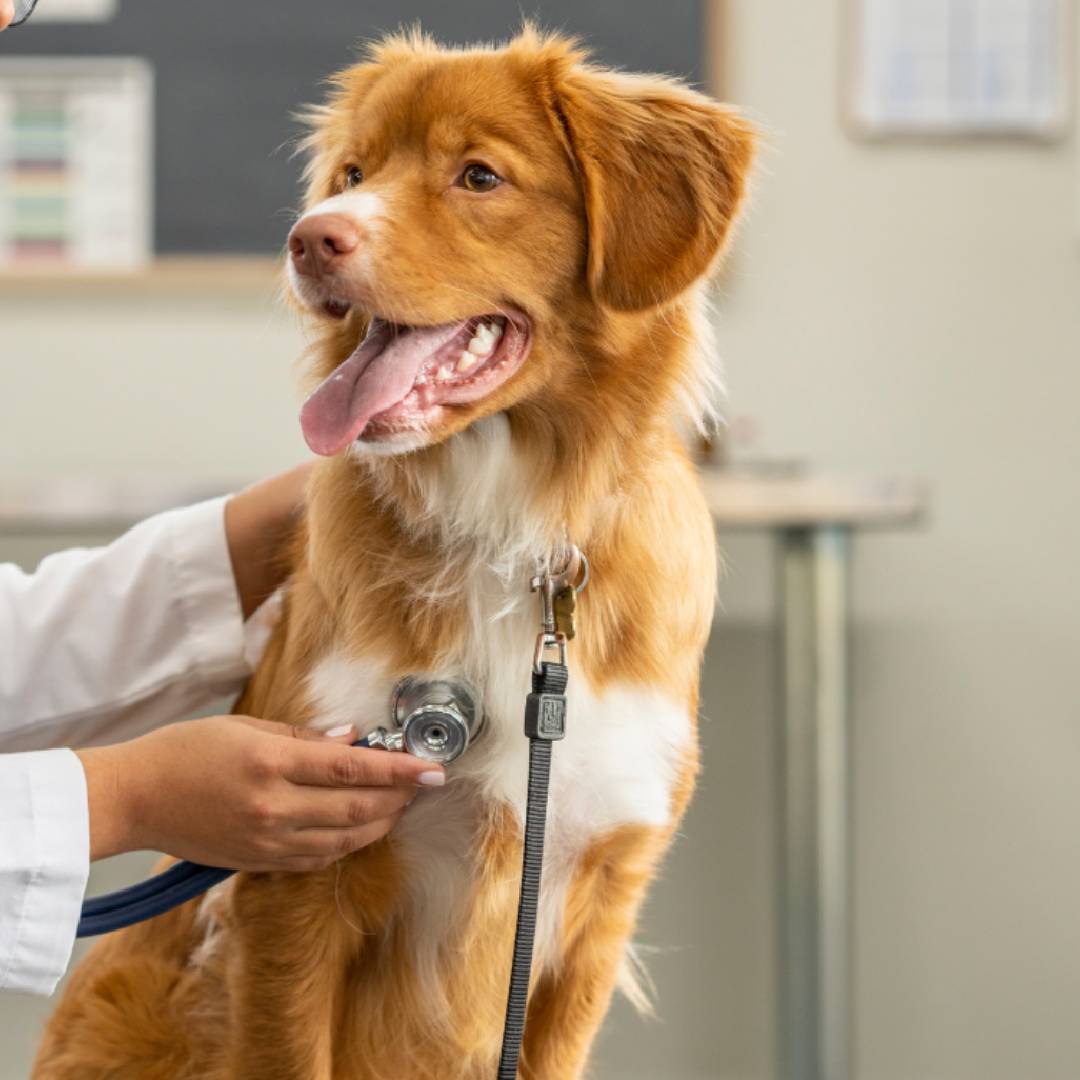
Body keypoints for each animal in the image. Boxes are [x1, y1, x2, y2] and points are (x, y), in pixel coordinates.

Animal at [38, 25, 756, 1080]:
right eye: (353, 173)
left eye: (479, 175)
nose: (311, 237)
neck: (506, 526)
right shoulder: (293, 892)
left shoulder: (594, 907)